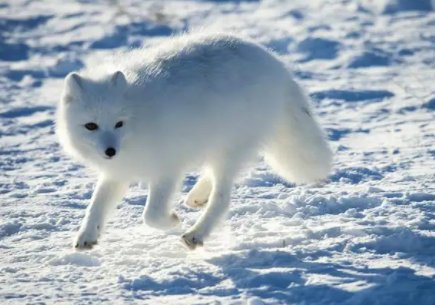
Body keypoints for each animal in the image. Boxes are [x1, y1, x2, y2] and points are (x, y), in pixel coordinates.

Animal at [56, 32, 332, 249]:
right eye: (91, 126)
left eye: (118, 124)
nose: (110, 151)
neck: (141, 119)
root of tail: (276, 65)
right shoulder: (119, 171)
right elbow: (96, 205)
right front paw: (86, 236)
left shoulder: (167, 167)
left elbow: (150, 214)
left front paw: (172, 220)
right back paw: (197, 197)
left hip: (229, 148)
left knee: (223, 199)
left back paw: (196, 234)